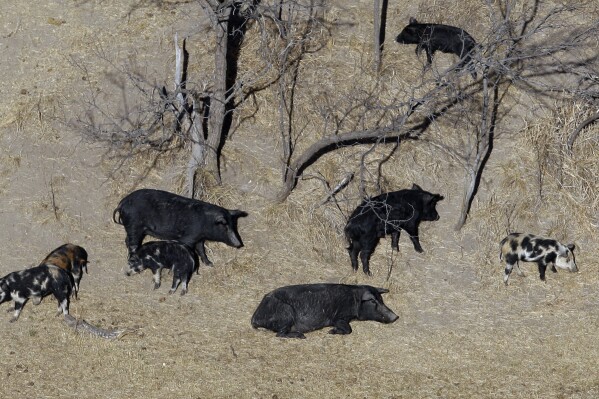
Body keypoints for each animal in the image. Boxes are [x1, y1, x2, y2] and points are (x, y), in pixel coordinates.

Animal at [113, 189, 247, 268]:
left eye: (233, 225)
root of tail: (122, 203)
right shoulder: (188, 237)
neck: (206, 222)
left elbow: (201, 250)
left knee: (127, 241)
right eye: (224, 226)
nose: (239, 243)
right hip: (134, 226)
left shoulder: (199, 239)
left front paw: (210, 264)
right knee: (132, 244)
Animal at [252, 282, 398, 340]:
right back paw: (301, 336)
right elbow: (349, 329)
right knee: (279, 334)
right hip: (286, 312)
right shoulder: (338, 317)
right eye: (373, 301)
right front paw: (331, 331)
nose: (396, 317)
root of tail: (254, 318)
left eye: (381, 299)